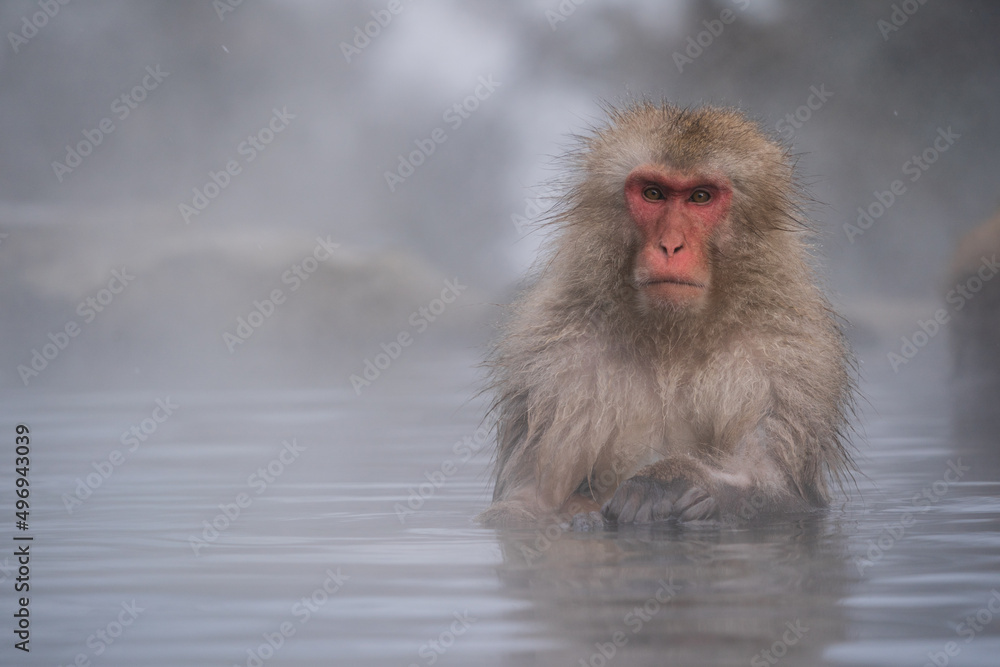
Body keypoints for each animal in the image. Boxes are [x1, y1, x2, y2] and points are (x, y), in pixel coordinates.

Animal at [478, 102, 856, 527]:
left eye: (700, 197)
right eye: (653, 194)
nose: (671, 245)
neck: (672, 340)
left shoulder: (787, 359)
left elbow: (777, 487)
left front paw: (669, 482)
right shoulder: (554, 357)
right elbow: (527, 502)